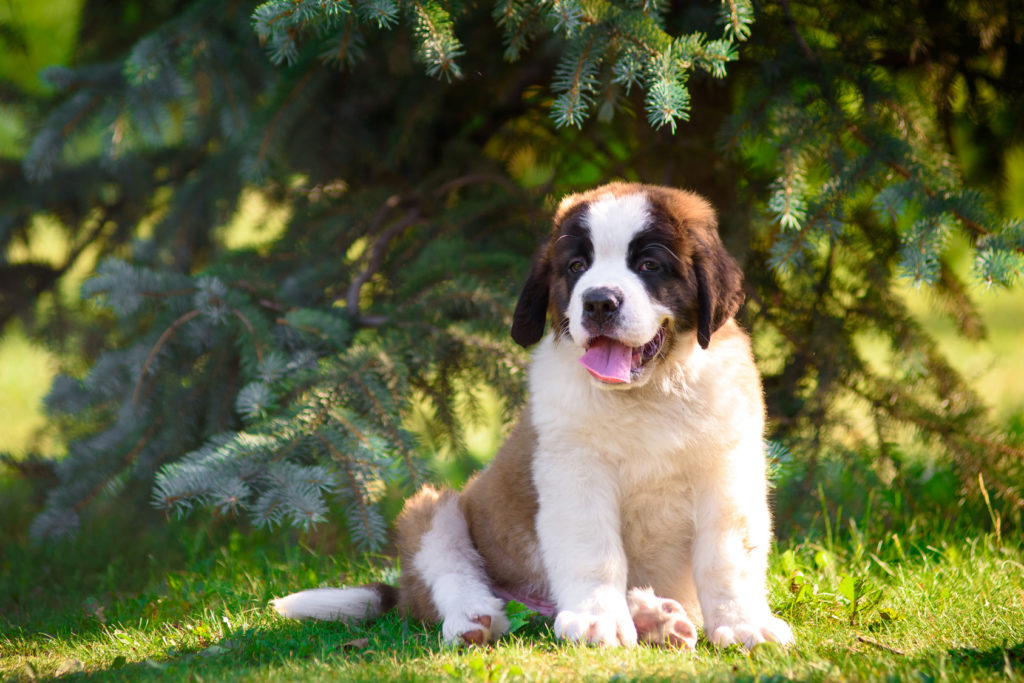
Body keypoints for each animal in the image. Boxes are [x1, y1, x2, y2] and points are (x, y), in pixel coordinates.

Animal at [276, 183, 794, 651]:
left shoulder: (727, 470)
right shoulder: (575, 473)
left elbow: (728, 556)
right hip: (431, 508)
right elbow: (594, 551)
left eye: (649, 266)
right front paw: (596, 620)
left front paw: (744, 624)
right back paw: (475, 618)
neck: (648, 394)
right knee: (450, 569)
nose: (599, 301)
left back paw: (654, 617)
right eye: (576, 267)